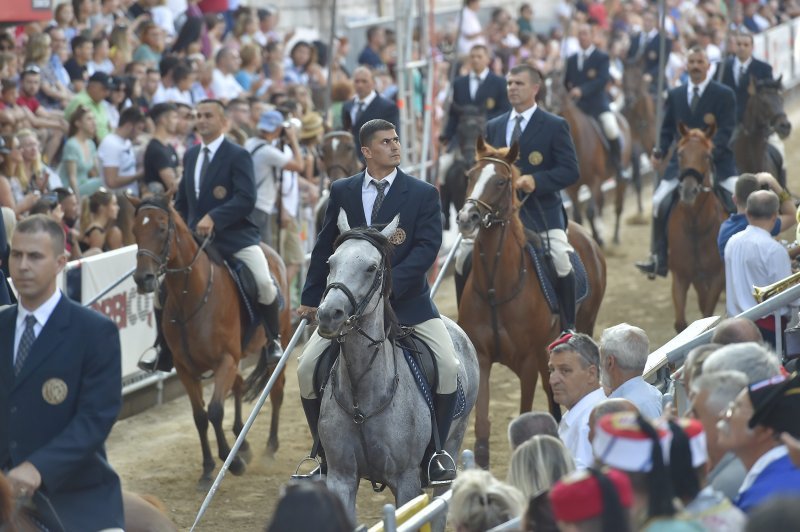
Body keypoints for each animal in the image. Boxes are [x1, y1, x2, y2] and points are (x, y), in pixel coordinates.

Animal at [130, 194, 292, 486]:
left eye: (161, 228)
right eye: (135, 230)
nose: (143, 279)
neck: (189, 297)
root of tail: (270, 249)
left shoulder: (225, 360)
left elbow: (216, 411)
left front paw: (233, 462)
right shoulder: (185, 369)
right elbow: (200, 417)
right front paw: (207, 468)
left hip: (278, 342)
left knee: (276, 390)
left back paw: (270, 448)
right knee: (238, 385)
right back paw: (242, 440)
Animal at [316, 209, 478, 524]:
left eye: (371, 268)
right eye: (330, 263)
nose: (328, 314)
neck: (362, 396)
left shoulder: (406, 482)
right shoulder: (341, 477)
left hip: (454, 444)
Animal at [456, 138, 608, 470]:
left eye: (501, 181)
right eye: (470, 176)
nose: (465, 218)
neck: (496, 288)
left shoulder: (527, 362)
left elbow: (526, 414)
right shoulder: (483, 357)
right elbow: (482, 425)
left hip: (573, 332)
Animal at [548, 71, 636, 246]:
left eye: (558, 86)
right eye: (540, 88)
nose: (548, 106)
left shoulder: (593, 180)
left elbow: (589, 211)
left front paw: (596, 238)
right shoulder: (572, 188)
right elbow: (578, 216)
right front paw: (594, 237)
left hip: (618, 174)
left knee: (617, 204)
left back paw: (615, 237)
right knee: (600, 204)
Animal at [668, 124, 724, 332]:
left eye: (707, 155)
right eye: (679, 154)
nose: (688, 191)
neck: (695, 227)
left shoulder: (717, 276)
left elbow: (707, 313)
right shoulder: (681, 276)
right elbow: (680, 324)